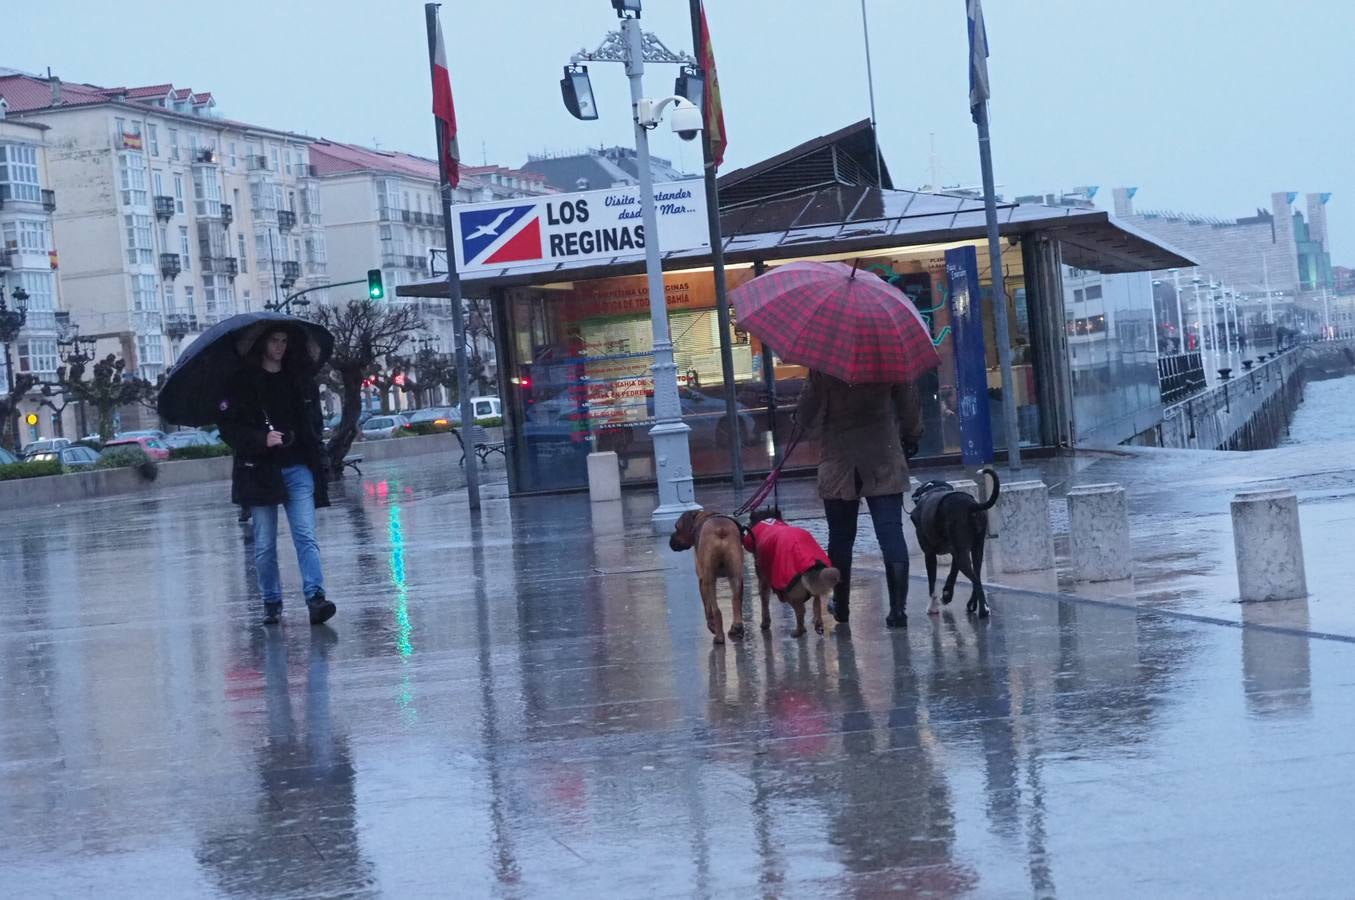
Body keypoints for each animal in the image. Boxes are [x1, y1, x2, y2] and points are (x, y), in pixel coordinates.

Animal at [669, 509, 747, 642]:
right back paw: (736, 627)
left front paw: (712, 626)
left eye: (676, 527)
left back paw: (719, 636)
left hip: (709, 580)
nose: (670, 540)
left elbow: (707, 609)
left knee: (716, 610)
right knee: (736, 600)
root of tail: (721, 529)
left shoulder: (701, 580)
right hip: (736, 575)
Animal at [742, 509, 834, 637]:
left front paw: (765, 623)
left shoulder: (763, 579)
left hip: (787, 590)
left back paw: (799, 631)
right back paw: (817, 622)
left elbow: (764, 601)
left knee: (801, 609)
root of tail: (811, 562)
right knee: (816, 602)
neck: (768, 522)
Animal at [910, 466, 997, 615]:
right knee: (977, 574)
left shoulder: (929, 554)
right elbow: (952, 573)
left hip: (962, 554)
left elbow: (932, 583)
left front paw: (932, 606)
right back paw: (973, 604)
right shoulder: (954, 552)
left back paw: (983, 609)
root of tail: (971, 505)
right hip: (976, 549)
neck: (932, 489)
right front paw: (947, 594)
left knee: (976, 579)